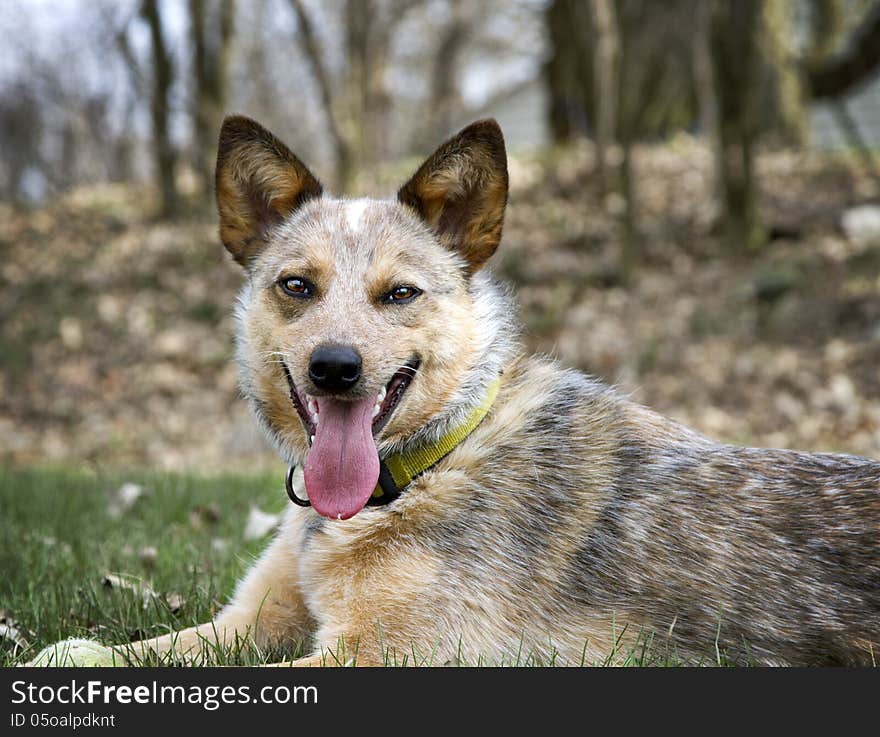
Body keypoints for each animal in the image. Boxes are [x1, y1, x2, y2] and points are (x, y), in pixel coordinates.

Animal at [125, 115, 880, 668]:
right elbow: (119, 650)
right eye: (296, 285)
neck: (429, 462)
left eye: (400, 293)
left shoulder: (385, 655)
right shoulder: (247, 619)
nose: (334, 368)